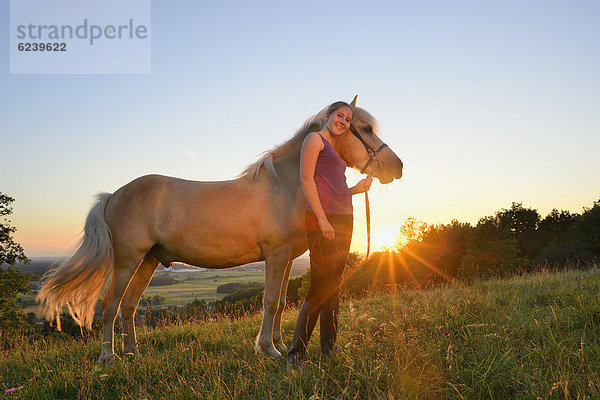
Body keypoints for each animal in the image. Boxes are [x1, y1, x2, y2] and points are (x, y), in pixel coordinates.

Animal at [37, 97, 404, 362]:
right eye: (365, 127)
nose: (398, 167)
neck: (287, 185)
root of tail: (113, 195)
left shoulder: (286, 259)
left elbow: (282, 300)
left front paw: (279, 345)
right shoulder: (276, 255)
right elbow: (271, 301)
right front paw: (268, 350)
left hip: (149, 260)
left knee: (128, 305)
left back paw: (133, 353)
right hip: (127, 260)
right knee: (110, 304)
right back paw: (108, 358)